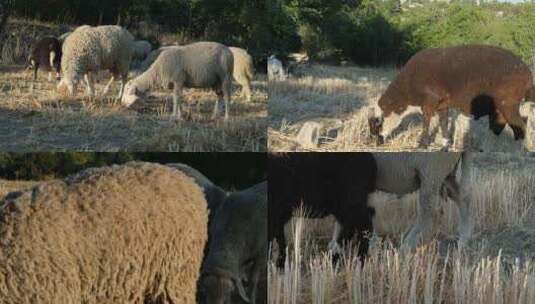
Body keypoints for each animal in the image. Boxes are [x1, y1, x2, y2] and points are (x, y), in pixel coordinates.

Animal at [368, 44, 535, 149]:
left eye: (377, 122)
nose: (375, 142)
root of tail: (525, 69)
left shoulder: (429, 104)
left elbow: (426, 123)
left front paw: (422, 144)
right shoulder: (442, 106)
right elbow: (443, 124)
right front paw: (444, 145)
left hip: (508, 104)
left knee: (521, 124)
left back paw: (524, 149)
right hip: (501, 107)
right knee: (500, 125)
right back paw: (488, 148)